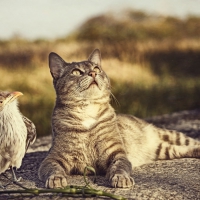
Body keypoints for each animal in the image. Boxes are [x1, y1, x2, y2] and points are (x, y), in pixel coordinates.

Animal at [38, 49, 200, 188]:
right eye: (76, 72)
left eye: (97, 68)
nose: (93, 73)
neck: (87, 111)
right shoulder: (53, 157)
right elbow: (53, 169)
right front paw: (56, 179)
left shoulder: (117, 153)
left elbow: (119, 167)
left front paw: (121, 178)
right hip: (163, 150)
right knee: (180, 150)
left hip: (170, 134)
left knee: (192, 142)